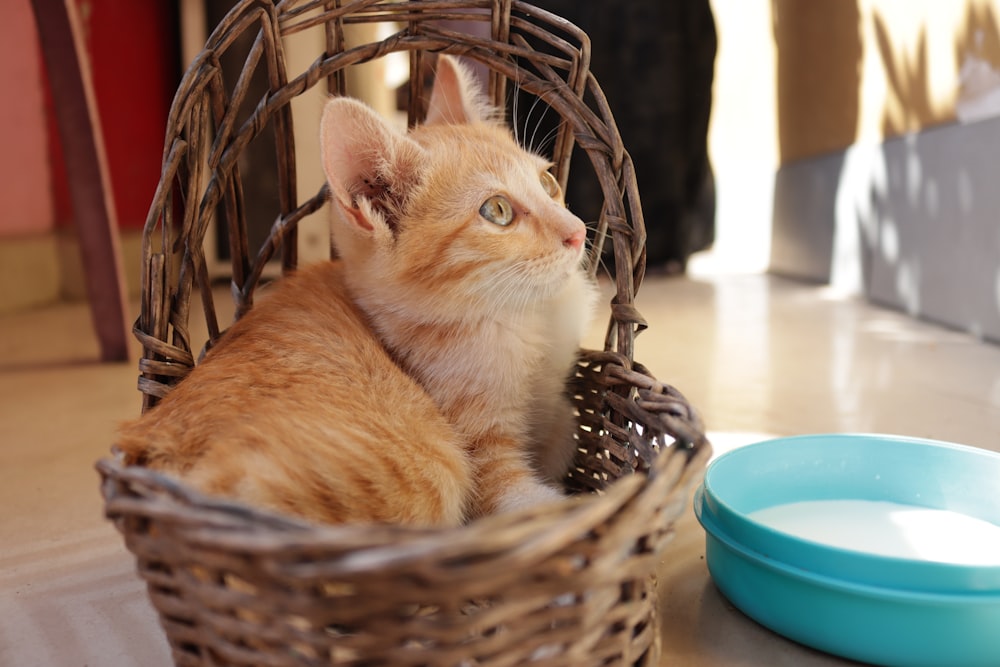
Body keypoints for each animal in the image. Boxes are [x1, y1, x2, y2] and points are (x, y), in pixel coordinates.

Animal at [121, 56, 596, 528]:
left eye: (548, 182)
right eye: (496, 211)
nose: (578, 232)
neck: (523, 315)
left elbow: (562, 431)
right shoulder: (482, 460)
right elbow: (528, 505)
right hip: (421, 466)